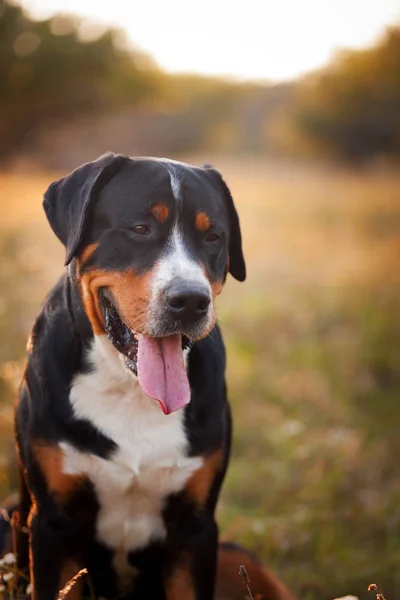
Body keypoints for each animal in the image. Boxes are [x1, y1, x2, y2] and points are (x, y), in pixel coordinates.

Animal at [14, 154, 247, 600]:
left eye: (213, 237)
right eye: (140, 228)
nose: (190, 300)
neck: (129, 390)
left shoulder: (195, 528)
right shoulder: (53, 523)